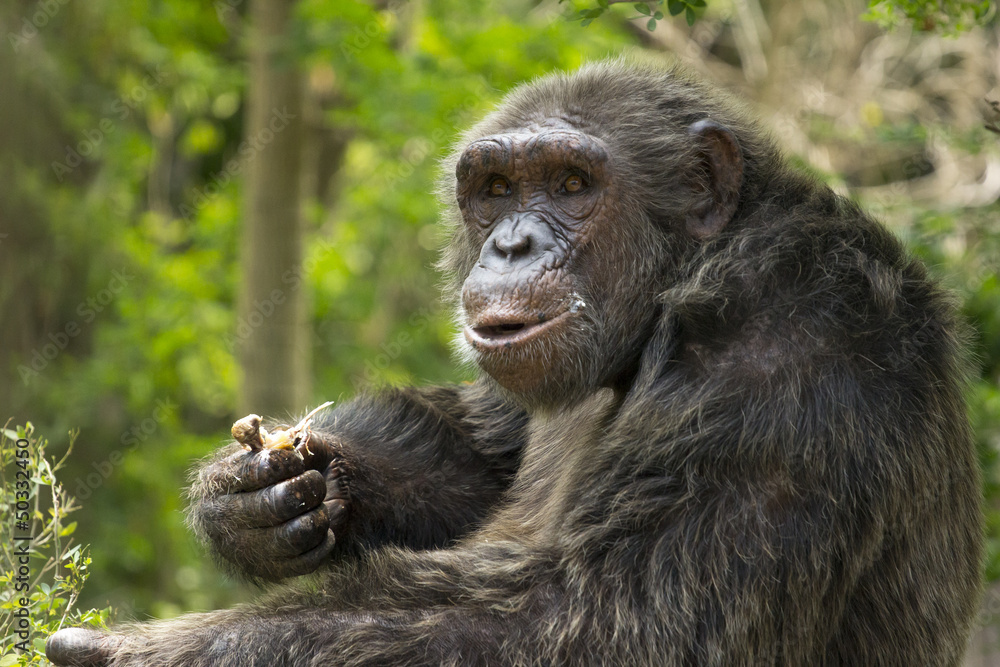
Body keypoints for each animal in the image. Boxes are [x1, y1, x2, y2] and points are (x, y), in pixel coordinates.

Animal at [47, 59, 983, 667]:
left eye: (571, 183)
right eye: (496, 190)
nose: (511, 242)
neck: (665, 299)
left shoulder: (786, 348)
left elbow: (596, 623)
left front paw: (139, 649)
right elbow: (484, 447)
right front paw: (253, 491)